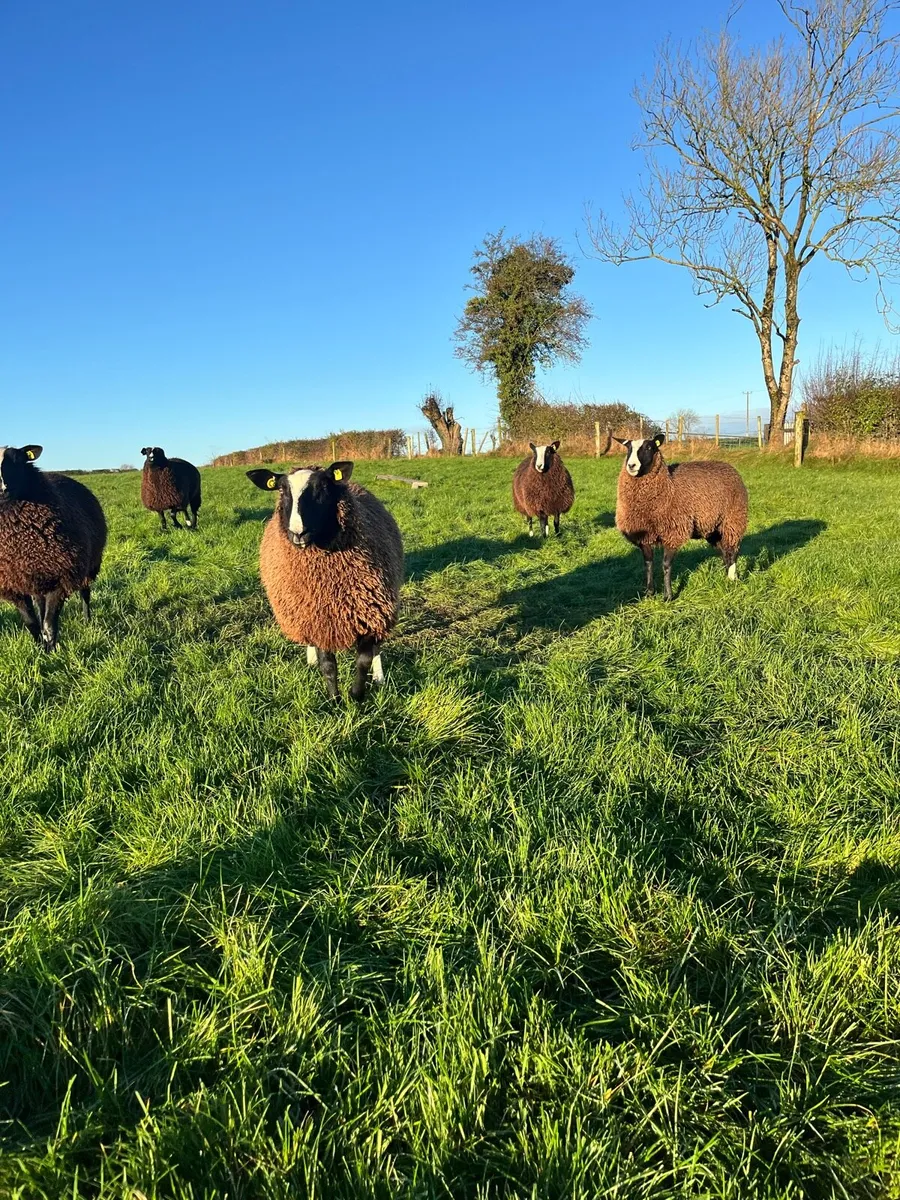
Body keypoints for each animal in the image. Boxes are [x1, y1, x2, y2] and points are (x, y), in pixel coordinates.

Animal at [0, 444, 107, 651]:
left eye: (18, 460)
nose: (2, 489)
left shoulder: (62, 576)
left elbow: (49, 624)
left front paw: (52, 652)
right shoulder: (13, 585)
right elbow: (32, 623)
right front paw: (39, 650)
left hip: (89, 564)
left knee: (85, 593)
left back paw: (87, 621)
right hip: (38, 578)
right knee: (40, 605)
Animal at [246, 460, 404, 701]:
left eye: (322, 488)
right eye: (282, 490)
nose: (297, 533)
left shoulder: (370, 613)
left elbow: (364, 660)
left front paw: (356, 695)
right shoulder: (319, 621)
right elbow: (328, 665)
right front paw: (334, 700)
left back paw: (379, 677)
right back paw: (311, 660)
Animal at [614, 432, 748, 601]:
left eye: (649, 447)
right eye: (628, 448)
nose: (631, 466)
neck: (668, 486)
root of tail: (729, 466)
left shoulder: (673, 532)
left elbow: (666, 565)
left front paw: (668, 596)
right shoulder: (644, 536)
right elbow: (648, 564)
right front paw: (649, 593)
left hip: (733, 520)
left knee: (733, 550)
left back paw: (732, 578)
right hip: (713, 527)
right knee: (724, 551)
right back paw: (727, 576)